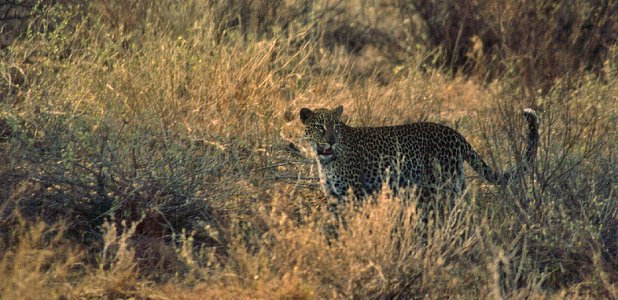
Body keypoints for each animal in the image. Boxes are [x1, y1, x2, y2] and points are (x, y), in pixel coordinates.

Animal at [300, 104, 536, 205]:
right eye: (320, 127)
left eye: (336, 126)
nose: (331, 140)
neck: (325, 161)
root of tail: (454, 133)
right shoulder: (334, 197)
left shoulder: (355, 193)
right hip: (455, 179)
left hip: (443, 181)